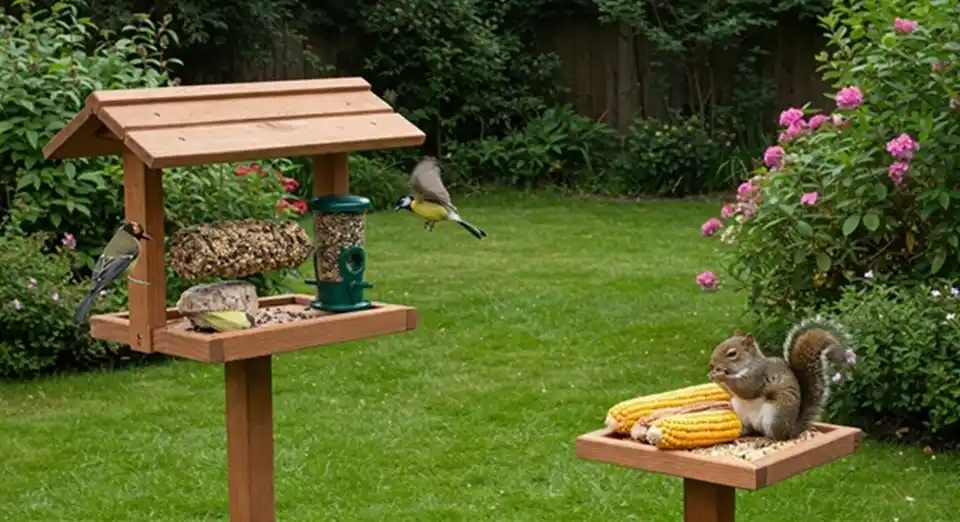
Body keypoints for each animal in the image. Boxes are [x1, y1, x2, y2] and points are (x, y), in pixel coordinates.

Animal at [707, 316, 857, 441]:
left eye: (732, 353)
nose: (711, 364)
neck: (747, 365)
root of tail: (791, 430)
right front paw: (713, 376)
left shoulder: (758, 375)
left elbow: (746, 388)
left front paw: (722, 376)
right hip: (740, 412)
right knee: (751, 430)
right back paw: (741, 433)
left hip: (774, 415)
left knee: (776, 437)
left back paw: (766, 441)